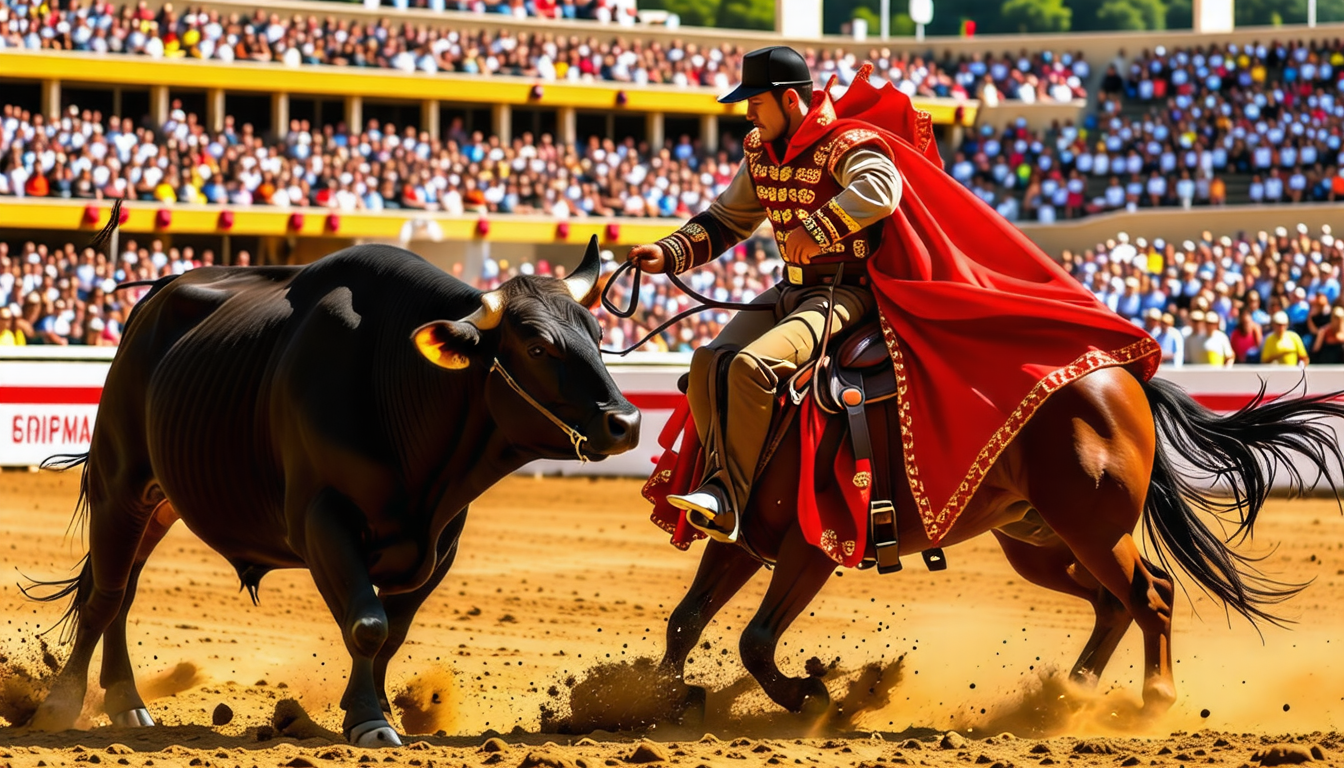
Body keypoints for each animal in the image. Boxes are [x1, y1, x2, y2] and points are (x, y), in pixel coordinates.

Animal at [26, 235, 639, 747]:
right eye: (537, 347)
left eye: (598, 335)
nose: (625, 421)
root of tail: (155, 299)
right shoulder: (321, 520)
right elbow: (366, 625)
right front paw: (368, 720)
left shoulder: (443, 541)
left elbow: (392, 632)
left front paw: (372, 709)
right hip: (120, 483)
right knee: (104, 597)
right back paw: (62, 703)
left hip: (160, 503)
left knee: (123, 590)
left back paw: (125, 700)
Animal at [653, 368, 1344, 726]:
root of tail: (1123, 379)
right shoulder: (741, 541)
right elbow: (686, 619)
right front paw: (657, 699)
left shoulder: (814, 546)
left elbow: (754, 639)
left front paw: (807, 694)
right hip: (1039, 543)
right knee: (1116, 602)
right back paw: (1071, 692)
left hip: (1093, 531)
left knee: (1151, 593)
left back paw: (1155, 699)